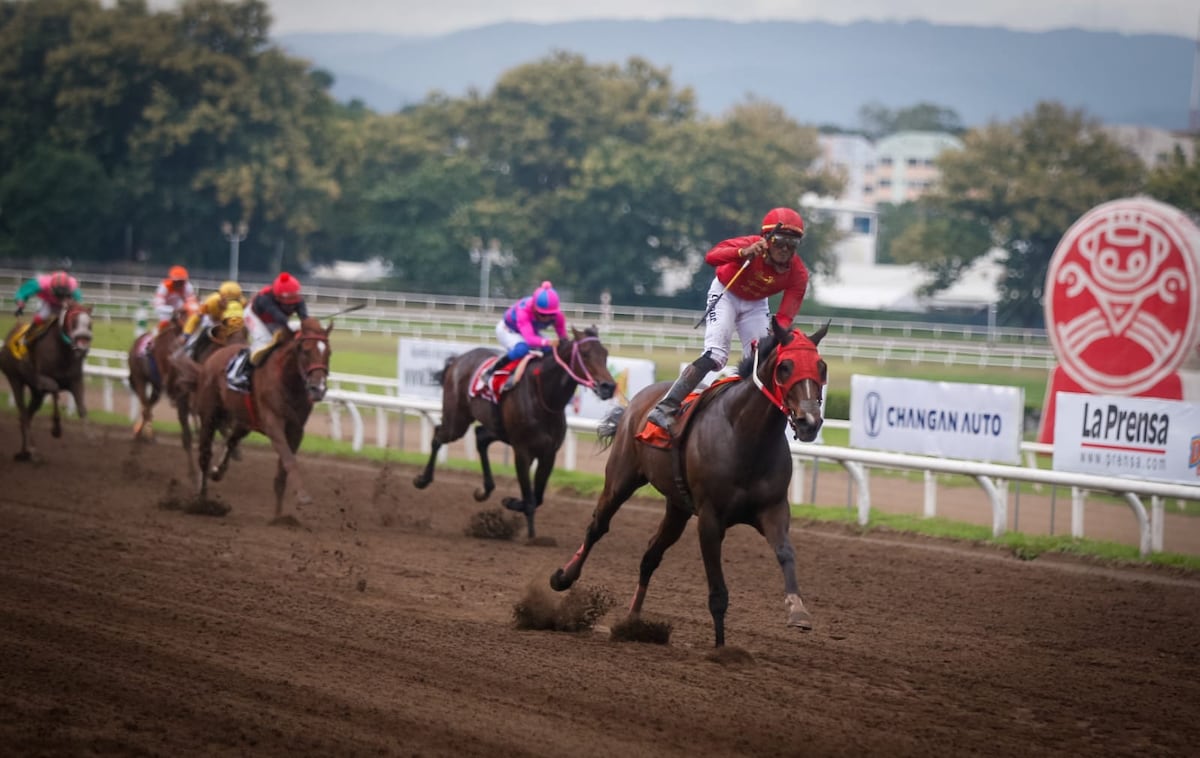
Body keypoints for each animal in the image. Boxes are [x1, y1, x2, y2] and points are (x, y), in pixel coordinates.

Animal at [0, 303, 94, 462]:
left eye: (90, 324)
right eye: (74, 322)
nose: (83, 347)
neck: (62, 351)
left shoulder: (75, 381)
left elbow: (82, 408)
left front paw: (90, 437)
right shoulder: (43, 380)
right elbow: (55, 390)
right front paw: (56, 429)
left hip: (36, 393)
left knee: (27, 415)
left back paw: (24, 452)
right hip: (15, 379)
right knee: (23, 413)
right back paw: (33, 450)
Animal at [192, 314, 333, 520]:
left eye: (328, 353)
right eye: (306, 351)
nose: (318, 389)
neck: (289, 382)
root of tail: (217, 354)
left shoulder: (296, 429)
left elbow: (282, 471)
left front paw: (279, 516)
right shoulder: (274, 423)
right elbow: (289, 460)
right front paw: (303, 495)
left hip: (244, 420)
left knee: (232, 440)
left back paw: (217, 471)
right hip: (209, 414)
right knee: (204, 454)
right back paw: (202, 501)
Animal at [412, 326, 619, 539]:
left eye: (605, 354)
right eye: (585, 353)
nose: (608, 386)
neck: (543, 397)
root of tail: (458, 359)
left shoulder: (548, 453)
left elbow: (537, 497)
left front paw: (516, 508)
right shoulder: (522, 451)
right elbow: (529, 497)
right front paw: (529, 533)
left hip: (497, 428)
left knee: (480, 436)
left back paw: (484, 490)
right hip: (457, 422)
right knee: (438, 435)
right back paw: (422, 479)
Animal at [549, 319, 825, 647]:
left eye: (821, 367)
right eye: (785, 367)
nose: (810, 422)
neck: (746, 437)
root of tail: (640, 399)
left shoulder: (773, 509)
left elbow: (785, 553)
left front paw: (798, 611)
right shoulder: (709, 518)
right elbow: (718, 592)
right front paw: (720, 648)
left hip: (677, 507)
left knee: (650, 555)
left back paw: (632, 622)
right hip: (621, 478)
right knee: (598, 526)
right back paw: (564, 577)